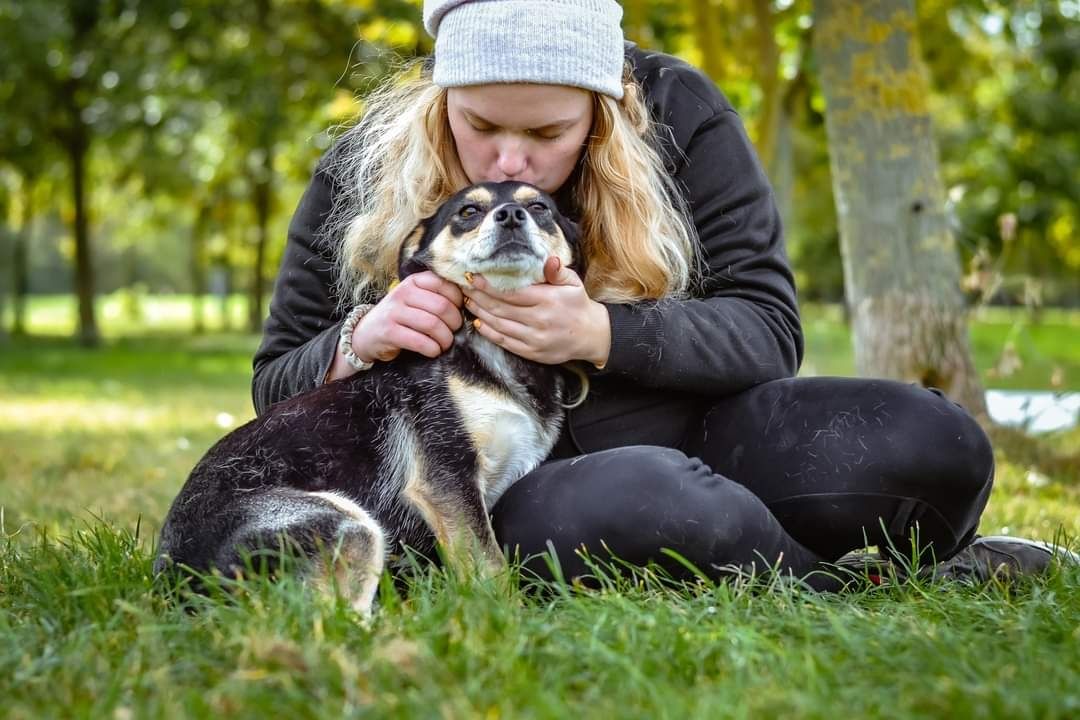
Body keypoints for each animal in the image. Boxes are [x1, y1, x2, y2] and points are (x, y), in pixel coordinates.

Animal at [153, 180, 583, 613]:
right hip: (349, 524)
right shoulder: (447, 476)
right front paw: (510, 616)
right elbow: (489, 565)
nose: (511, 215)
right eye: (467, 212)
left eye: (540, 207)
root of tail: (173, 583)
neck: (489, 345)